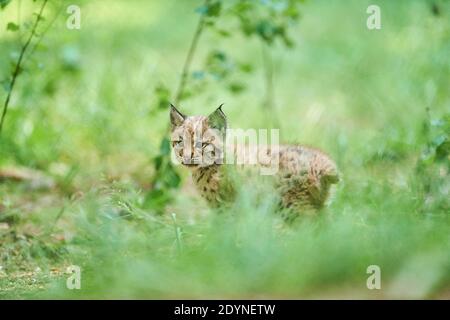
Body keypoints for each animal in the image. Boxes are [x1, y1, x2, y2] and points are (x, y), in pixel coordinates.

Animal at [171, 104, 340, 216]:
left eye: (202, 144)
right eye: (180, 142)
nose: (187, 157)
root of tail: (322, 159)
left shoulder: (225, 207)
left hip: (293, 205)